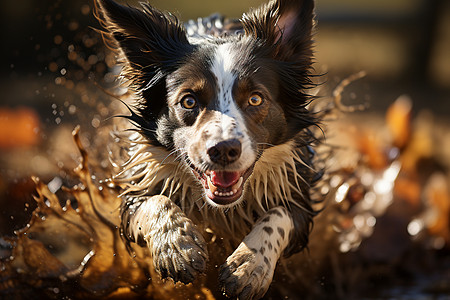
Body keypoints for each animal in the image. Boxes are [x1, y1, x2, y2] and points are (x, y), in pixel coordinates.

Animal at [96, 0, 320, 298]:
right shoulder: (136, 186)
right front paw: (178, 247)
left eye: (255, 99)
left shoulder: (298, 195)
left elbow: (279, 214)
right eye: (189, 101)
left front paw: (250, 265)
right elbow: (155, 201)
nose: (224, 149)